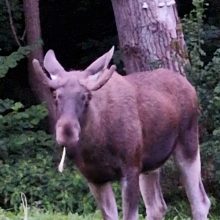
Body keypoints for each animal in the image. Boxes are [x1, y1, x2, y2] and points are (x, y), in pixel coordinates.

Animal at [32, 46, 210, 220]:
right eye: (56, 96)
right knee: (157, 207)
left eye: (86, 96)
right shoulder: (95, 178)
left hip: (188, 144)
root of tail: (190, 86)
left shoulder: (130, 169)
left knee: (201, 202)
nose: (67, 132)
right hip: (149, 165)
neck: (95, 146)